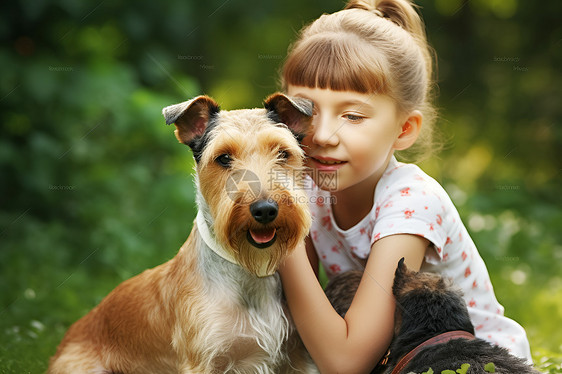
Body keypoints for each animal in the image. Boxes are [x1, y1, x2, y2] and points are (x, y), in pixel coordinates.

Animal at [48, 93, 318, 374]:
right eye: (223, 158)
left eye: (282, 153)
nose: (265, 209)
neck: (249, 273)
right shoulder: (203, 361)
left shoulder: (298, 356)